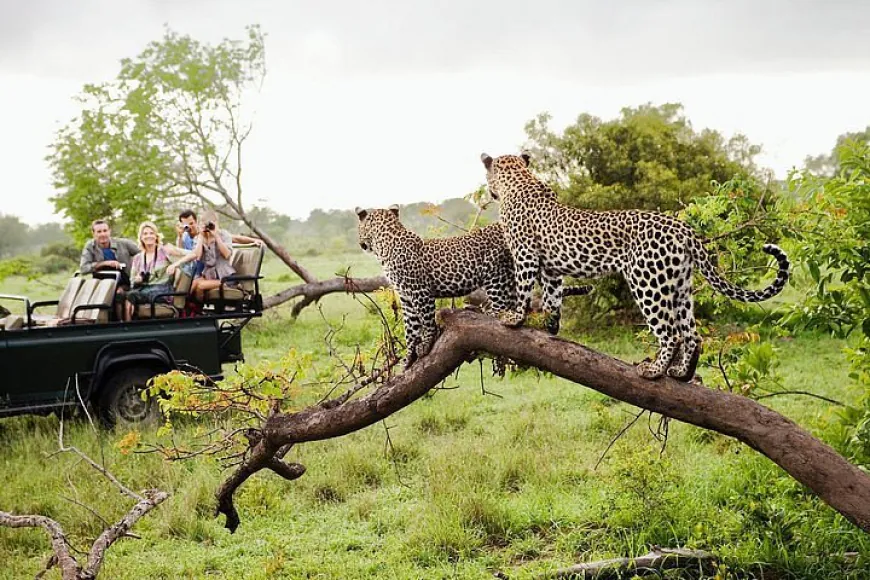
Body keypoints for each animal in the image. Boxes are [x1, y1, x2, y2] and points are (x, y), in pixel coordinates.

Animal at [356, 205, 592, 368]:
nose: (361, 244)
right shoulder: (405, 297)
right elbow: (410, 328)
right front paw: (408, 358)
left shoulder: (420, 292)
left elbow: (426, 321)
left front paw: (426, 344)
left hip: (496, 274)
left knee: (504, 307)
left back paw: (488, 313)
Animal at [480, 152, 792, 382]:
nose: (489, 192)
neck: (519, 179)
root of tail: (684, 229)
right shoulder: (552, 268)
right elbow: (552, 298)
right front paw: (551, 326)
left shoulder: (525, 254)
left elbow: (523, 289)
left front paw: (514, 318)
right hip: (680, 286)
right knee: (692, 334)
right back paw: (681, 373)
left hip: (647, 282)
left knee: (671, 333)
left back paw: (654, 371)